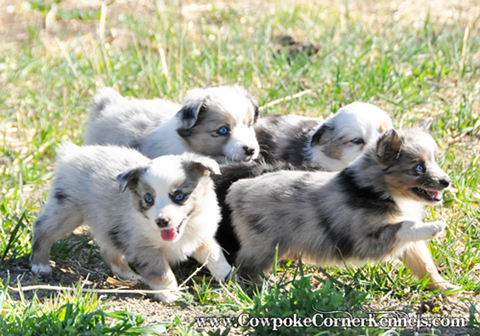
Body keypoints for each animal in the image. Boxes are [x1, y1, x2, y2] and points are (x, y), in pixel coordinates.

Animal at [30, 143, 232, 304]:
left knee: (109, 252)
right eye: (148, 199)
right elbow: (162, 273)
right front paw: (170, 294)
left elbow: (215, 255)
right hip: (67, 210)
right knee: (43, 229)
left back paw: (130, 275)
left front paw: (229, 278)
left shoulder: (200, 236)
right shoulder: (143, 249)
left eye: (179, 196)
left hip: (109, 225)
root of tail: (72, 153)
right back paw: (40, 265)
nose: (161, 221)